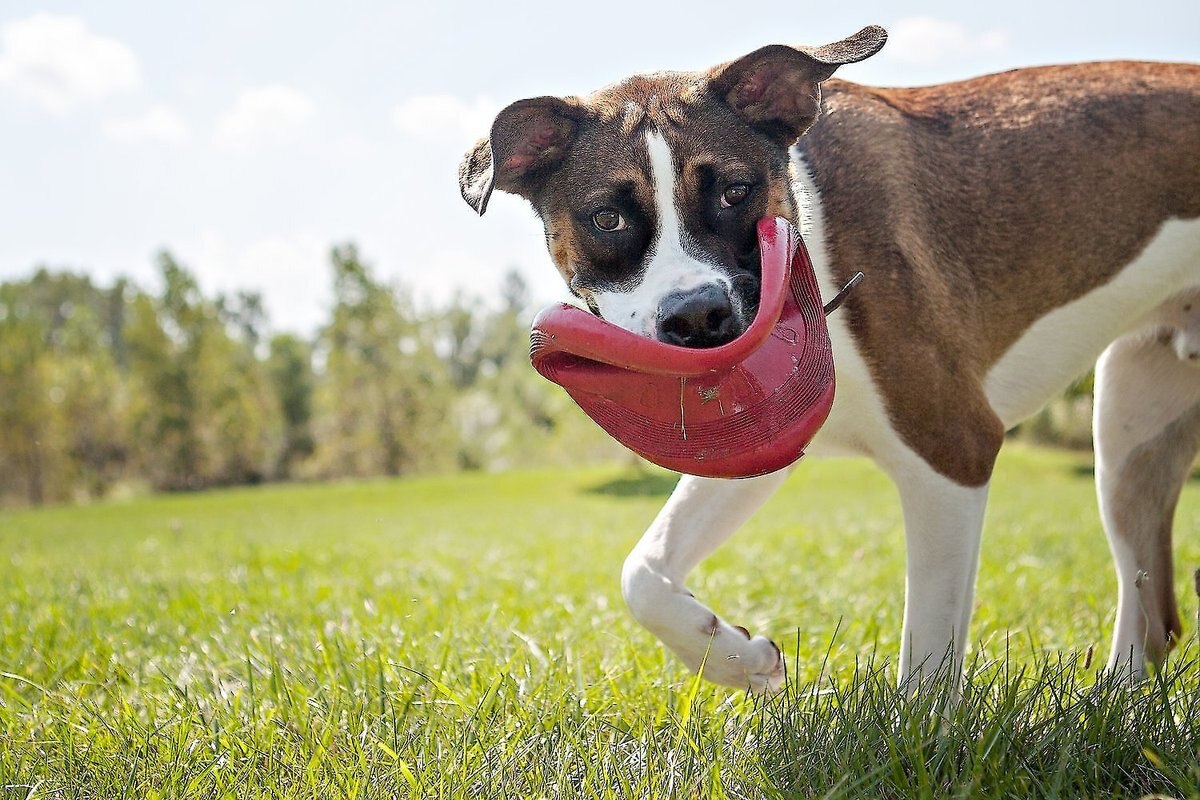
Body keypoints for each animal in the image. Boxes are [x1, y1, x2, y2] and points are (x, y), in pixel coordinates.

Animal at [458, 26, 1200, 695]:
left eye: (733, 192)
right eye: (607, 219)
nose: (698, 316)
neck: (813, 248)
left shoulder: (953, 452)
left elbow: (927, 661)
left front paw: (918, 741)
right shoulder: (753, 445)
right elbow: (642, 573)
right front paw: (736, 659)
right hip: (1131, 427)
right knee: (1153, 613)